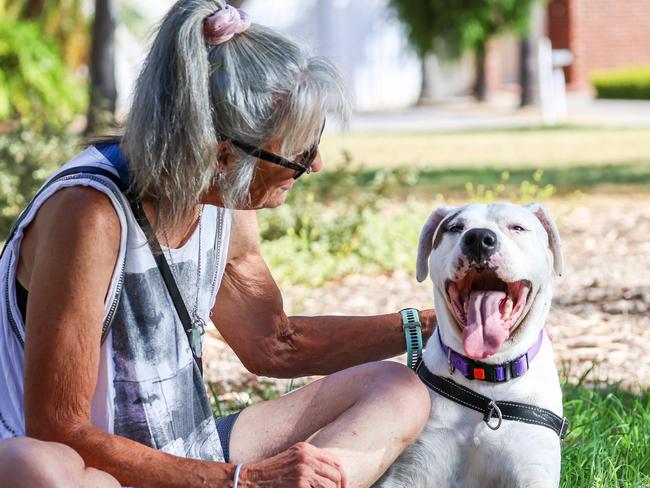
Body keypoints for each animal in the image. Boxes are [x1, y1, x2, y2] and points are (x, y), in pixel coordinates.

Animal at [374, 202, 568, 488]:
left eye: (518, 227)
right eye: (455, 228)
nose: (478, 238)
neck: (487, 379)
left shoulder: (533, 469)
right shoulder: (408, 472)